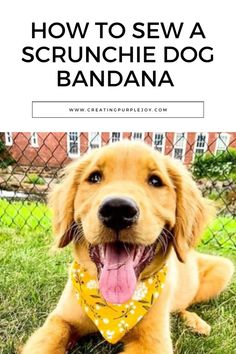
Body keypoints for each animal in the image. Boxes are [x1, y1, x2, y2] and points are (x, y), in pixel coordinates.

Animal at [22, 141, 234, 354]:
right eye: (94, 177)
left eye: (155, 181)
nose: (117, 210)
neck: (112, 307)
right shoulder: (60, 320)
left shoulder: (153, 342)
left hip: (224, 269)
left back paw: (196, 322)